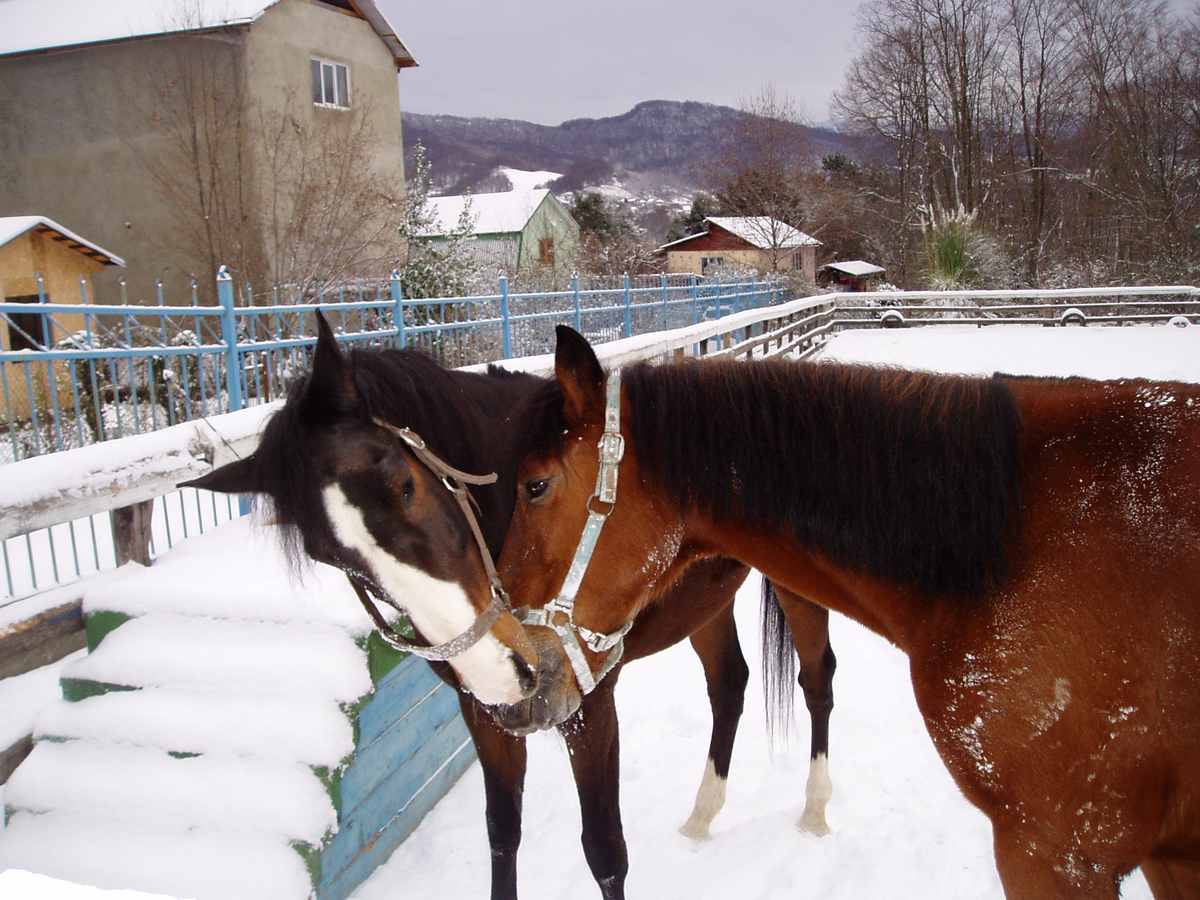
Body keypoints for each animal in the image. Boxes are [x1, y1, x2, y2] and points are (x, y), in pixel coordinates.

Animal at [184, 316, 844, 900]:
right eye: (326, 554)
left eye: (405, 485)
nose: (502, 667)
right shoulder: (485, 711)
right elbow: (502, 834)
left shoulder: (588, 705)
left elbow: (604, 851)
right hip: (704, 607)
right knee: (729, 684)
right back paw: (702, 817)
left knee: (817, 680)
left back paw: (815, 812)